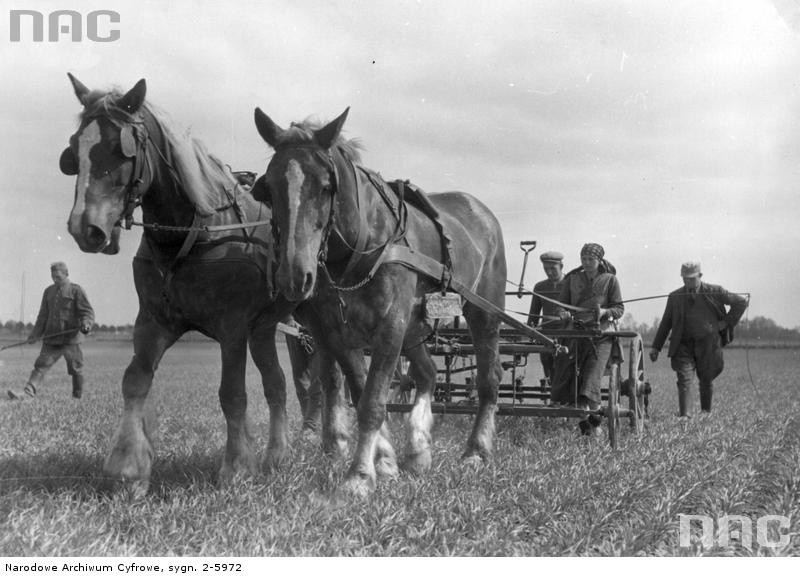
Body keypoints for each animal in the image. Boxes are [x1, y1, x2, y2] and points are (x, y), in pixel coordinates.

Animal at [58, 74, 296, 492]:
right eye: (75, 151)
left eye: (121, 149)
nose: (84, 228)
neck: (192, 232)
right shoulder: (154, 320)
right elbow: (135, 380)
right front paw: (128, 466)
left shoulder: (232, 327)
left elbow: (232, 393)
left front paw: (236, 466)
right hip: (265, 328)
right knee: (277, 383)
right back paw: (277, 456)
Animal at [255, 106, 506, 492]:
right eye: (268, 189)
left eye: (326, 187)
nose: (295, 276)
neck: (362, 244)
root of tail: (481, 211)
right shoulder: (338, 332)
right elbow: (360, 394)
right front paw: (385, 462)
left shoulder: (390, 326)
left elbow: (372, 402)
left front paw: (359, 475)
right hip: (415, 327)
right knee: (428, 373)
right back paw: (418, 451)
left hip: (482, 314)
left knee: (489, 379)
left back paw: (476, 451)